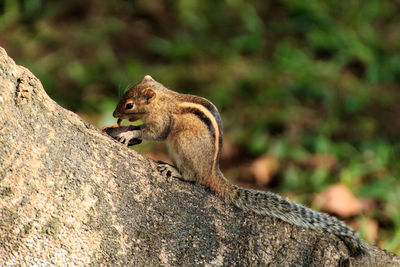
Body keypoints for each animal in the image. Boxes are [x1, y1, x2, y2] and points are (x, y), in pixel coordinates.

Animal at [102, 75, 368, 258]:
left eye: (129, 105)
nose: (115, 114)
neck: (164, 99)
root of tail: (211, 172)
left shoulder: (162, 121)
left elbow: (153, 133)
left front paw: (129, 132)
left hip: (182, 144)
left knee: (192, 177)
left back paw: (174, 170)